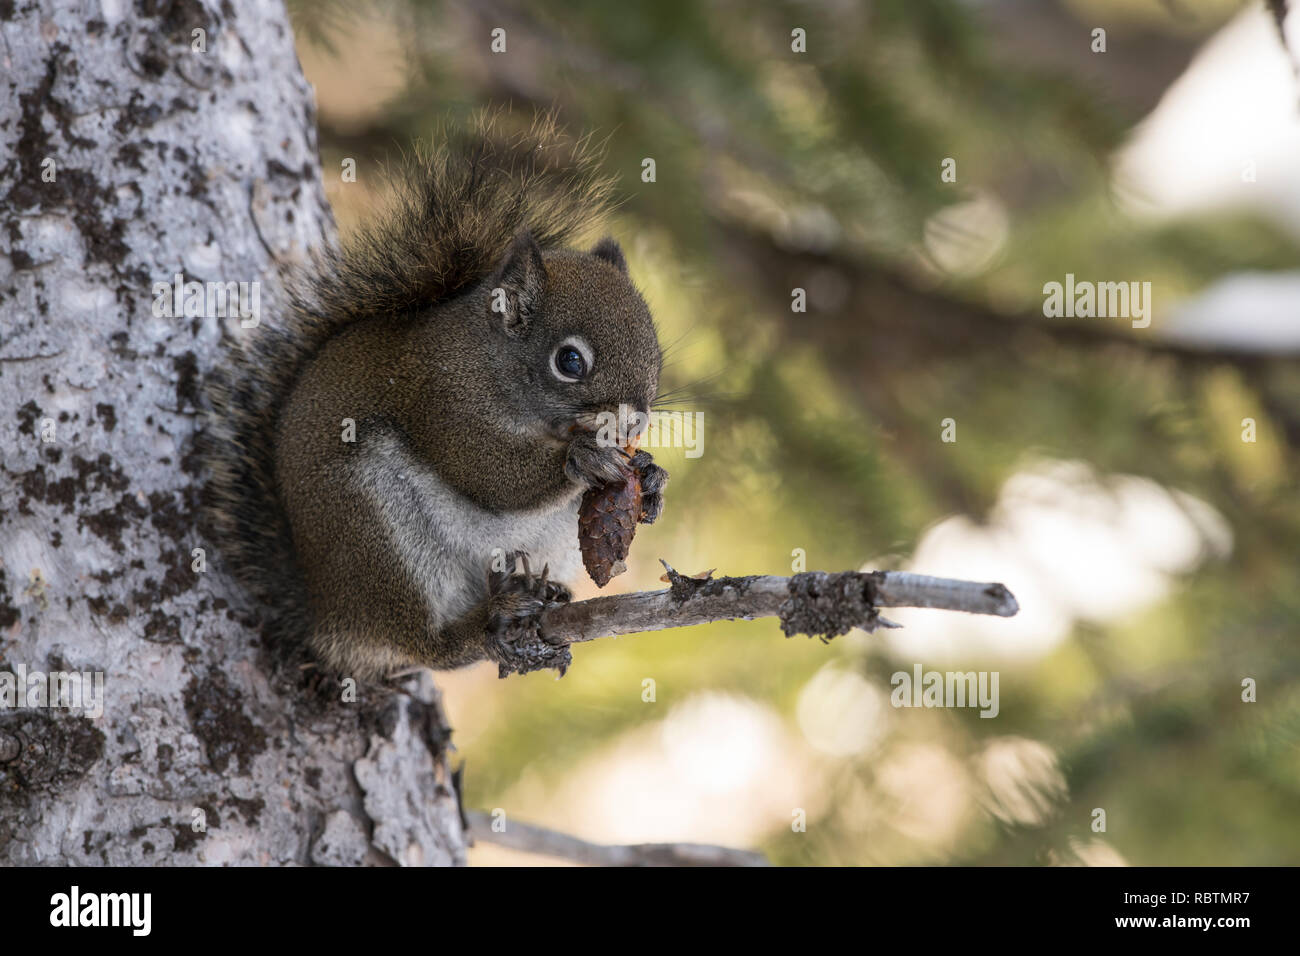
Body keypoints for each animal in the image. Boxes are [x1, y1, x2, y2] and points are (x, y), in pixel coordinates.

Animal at [204, 114, 667, 682]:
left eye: (655, 351)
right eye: (570, 361)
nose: (633, 423)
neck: (489, 365)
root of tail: (327, 620)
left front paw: (651, 476)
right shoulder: (437, 399)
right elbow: (489, 476)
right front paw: (584, 458)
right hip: (370, 530)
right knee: (426, 647)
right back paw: (488, 621)